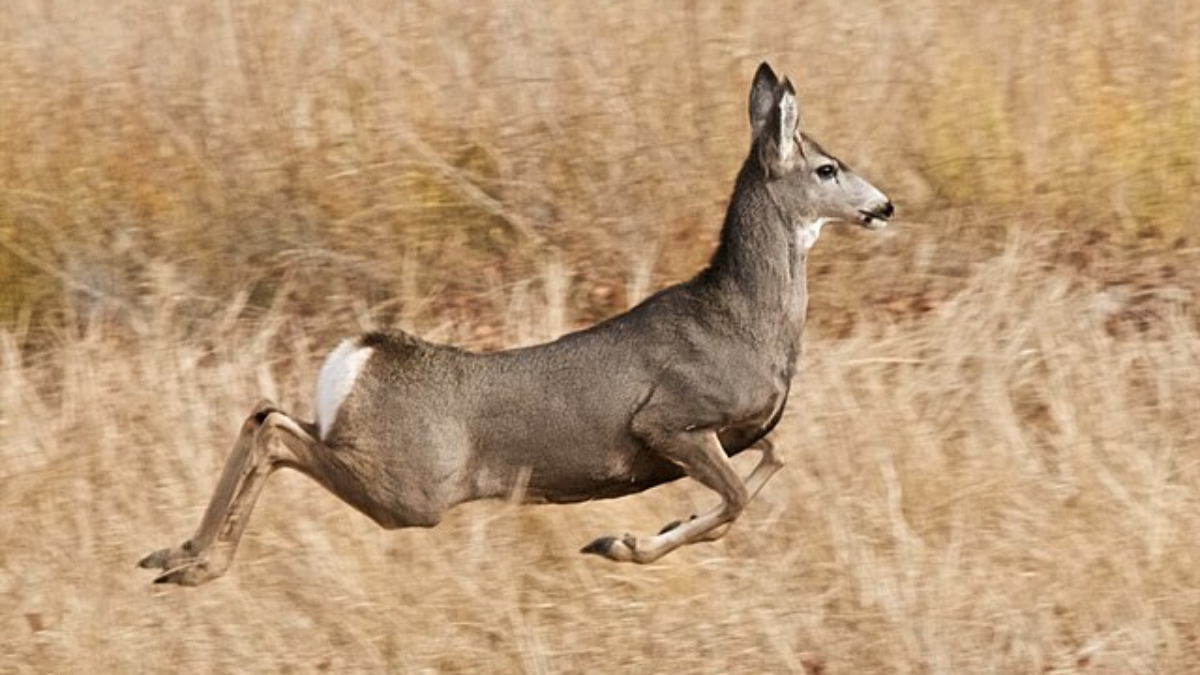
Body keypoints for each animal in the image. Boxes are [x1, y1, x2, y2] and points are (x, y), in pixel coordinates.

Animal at [138, 63, 892, 583]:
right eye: (827, 168)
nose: (884, 206)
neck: (745, 319)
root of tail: (363, 354)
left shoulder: (735, 434)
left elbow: (768, 463)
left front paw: (653, 526)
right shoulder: (669, 420)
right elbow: (737, 498)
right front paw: (620, 542)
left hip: (382, 465)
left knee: (264, 412)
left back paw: (174, 555)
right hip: (412, 488)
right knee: (275, 430)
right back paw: (193, 564)